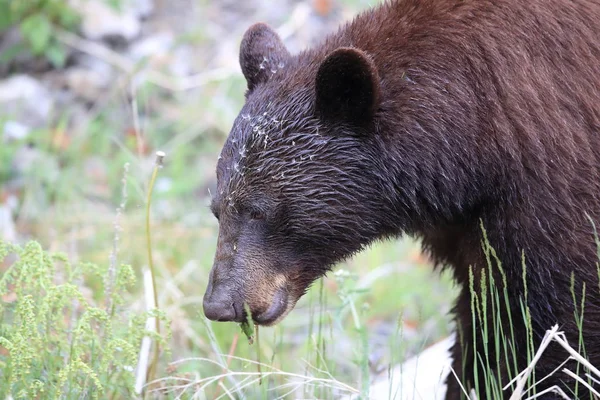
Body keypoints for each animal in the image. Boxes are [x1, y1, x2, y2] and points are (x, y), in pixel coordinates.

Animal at [203, 0, 600, 396]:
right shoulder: (467, 227)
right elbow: (482, 317)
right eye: (217, 209)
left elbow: (564, 323)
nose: (220, 304)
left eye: (258, 210)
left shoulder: (553, 190)